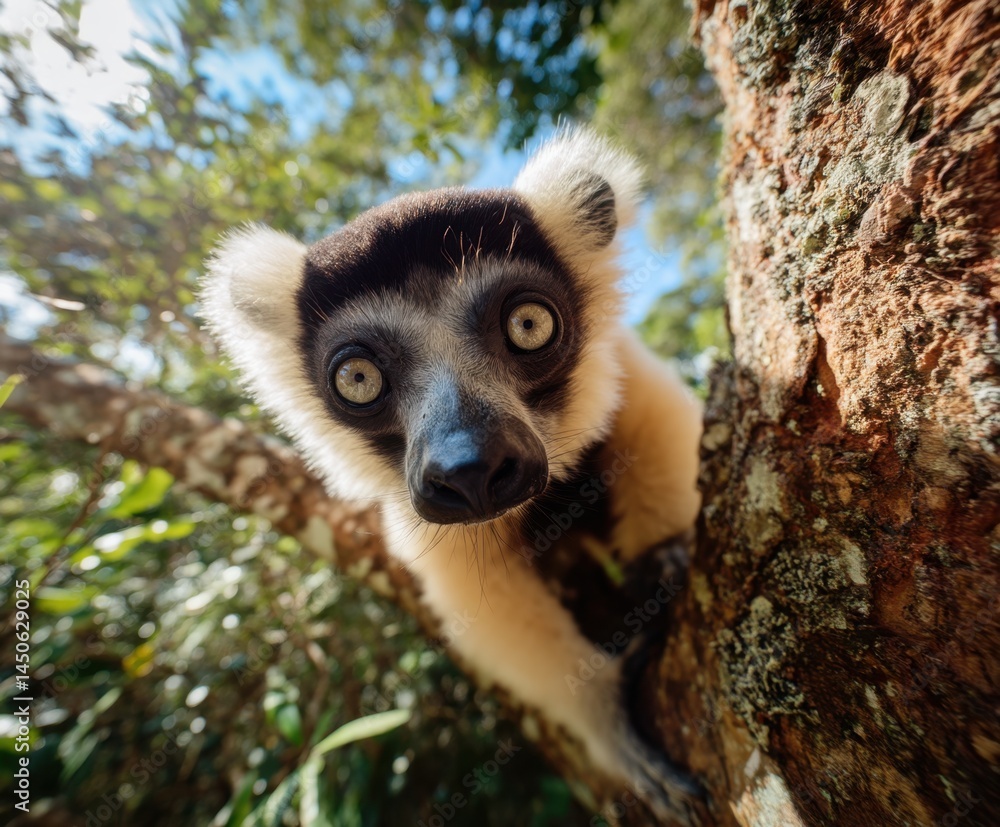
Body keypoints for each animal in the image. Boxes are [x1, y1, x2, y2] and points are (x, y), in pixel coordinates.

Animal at [200, 128, 704, 822]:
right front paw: (604, 716)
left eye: (529, 325)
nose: (471, 471)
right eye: (358, 378)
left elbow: (652, 424)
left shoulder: (626, 370)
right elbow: (482, 599)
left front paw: (666, 557)